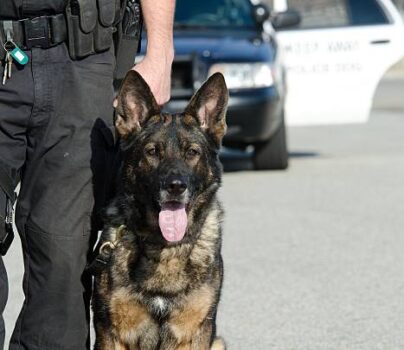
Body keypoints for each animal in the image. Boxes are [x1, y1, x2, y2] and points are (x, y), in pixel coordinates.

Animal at [92, 69, 229, 348]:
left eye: (192, 152)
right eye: (152, 152)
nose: (175, 186)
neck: (164, 248)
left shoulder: (196, 333)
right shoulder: (111, 332)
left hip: (218, 342)